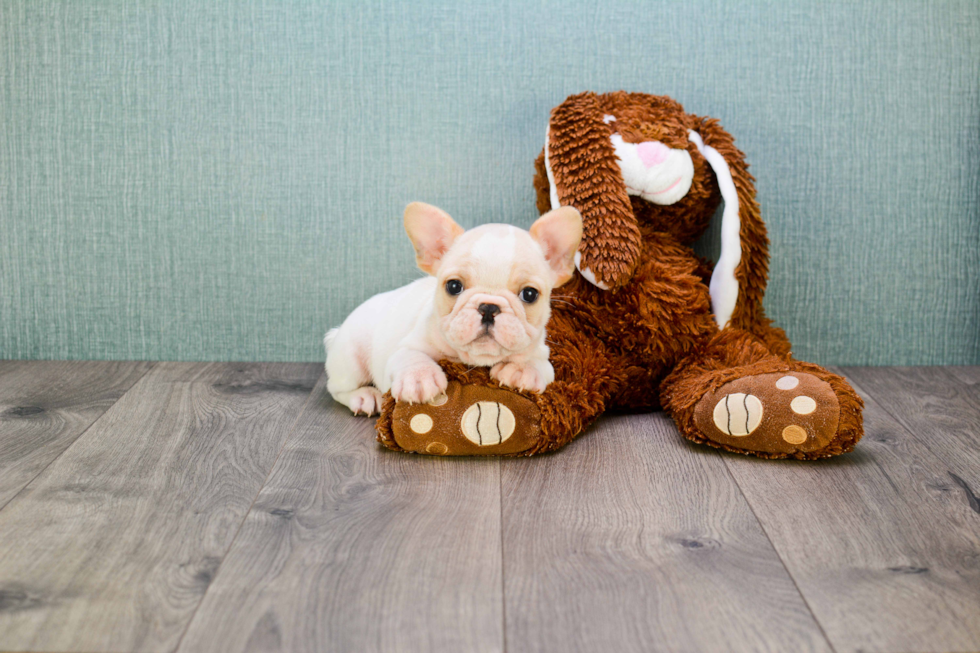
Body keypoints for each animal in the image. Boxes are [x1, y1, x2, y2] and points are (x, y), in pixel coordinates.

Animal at [326, 201, 580, 416]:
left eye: (529, 294)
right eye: (454, 286)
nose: (489, 307)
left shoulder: (542, 354)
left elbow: (537, 363)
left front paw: (522, 369)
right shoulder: (405, 346)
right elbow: (410, 356)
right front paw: (418, 378)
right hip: (350, 360)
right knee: (336, 389)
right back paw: (365, 396)